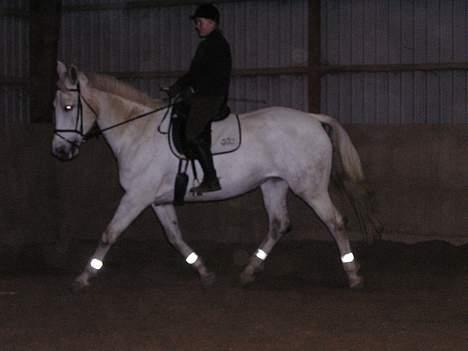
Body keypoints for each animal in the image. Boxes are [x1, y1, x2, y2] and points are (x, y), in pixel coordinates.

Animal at [52, 62, 370, 292]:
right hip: (273, 184)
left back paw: (353, 275)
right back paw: (248, 272)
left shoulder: (136, 197)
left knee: (335, 221)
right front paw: (204, 272)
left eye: (68, 107)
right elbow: (174, 236)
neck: (137, 131)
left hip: (310, 188)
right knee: (279, 224)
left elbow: (110, 233)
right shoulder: (156, 201)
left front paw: (83, 277)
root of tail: (314, 118)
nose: (59, 151)